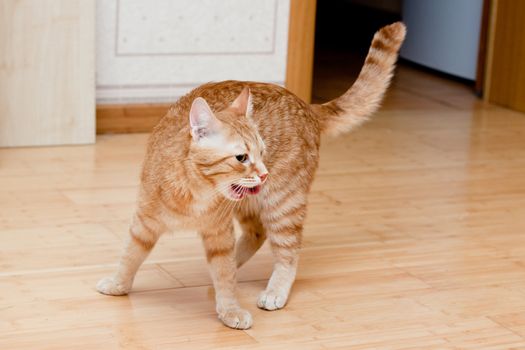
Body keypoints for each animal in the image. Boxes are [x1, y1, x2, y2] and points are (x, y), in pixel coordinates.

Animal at [96, 21, 406, 328]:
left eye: (262, 151)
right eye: (242, 158)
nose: (264, 173)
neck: (195, 191)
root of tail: (307, 106)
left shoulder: (219, 233)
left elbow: (224, 274)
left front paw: (229, 308)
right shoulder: (144, 223)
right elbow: (130, 255)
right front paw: (118, 284)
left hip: (283, 205)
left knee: (288, 252)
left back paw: (274, 290)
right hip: (249, 203)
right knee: (257, 233)